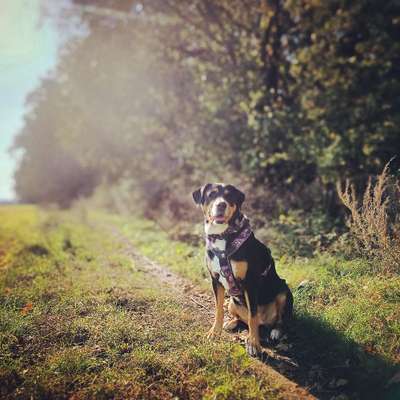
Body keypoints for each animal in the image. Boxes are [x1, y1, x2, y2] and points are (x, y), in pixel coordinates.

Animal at [192, 183, 292, 354]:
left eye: (229, 196)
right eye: (211, 195)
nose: (221, 204)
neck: (222, 236)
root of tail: (265, 322)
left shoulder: (250, 283)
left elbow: (253, 316)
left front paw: (253, 344)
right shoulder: (215, 280)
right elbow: (218, 309)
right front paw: (214, 332)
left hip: (284, 292)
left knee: (279, 320)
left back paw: (275, 332)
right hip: (232, 302)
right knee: (241, 318)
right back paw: (232, 322)